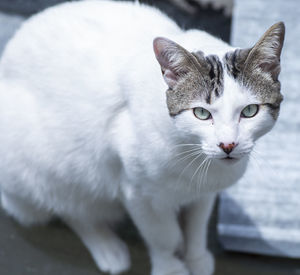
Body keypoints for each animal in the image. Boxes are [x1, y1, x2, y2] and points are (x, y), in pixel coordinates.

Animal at [0, 0, 284, 275]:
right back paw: (107, 248)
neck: (194, 158)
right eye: (202, 113)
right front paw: (171, 267)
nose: (228, 144)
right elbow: (163, 235)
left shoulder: (204, 193)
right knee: (70, 208)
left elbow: (196, 227)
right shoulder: (138, 195)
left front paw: (196, 258)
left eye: (249, 111)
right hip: (43, 170)